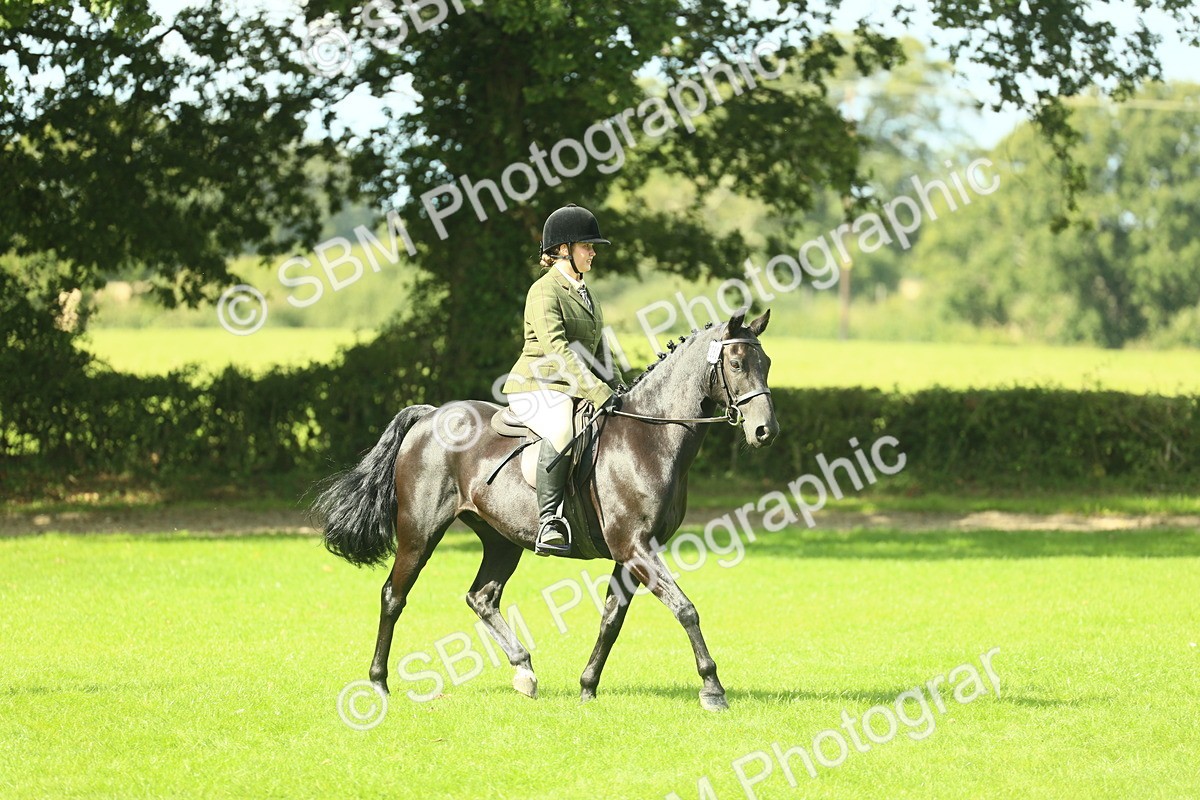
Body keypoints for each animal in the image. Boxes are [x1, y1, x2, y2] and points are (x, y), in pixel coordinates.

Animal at [311, 308, 778, 711]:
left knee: (482, 597)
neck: (649, 438)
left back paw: (524, 672)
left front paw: (588, 687)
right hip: (419, 533)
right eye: (737, 364)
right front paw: (713, 688)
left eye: (767, 362)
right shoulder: (636, 548)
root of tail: (429, 416)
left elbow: (612, 618)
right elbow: (685, 608)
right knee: (394, 596)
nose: (765, 431)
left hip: (501, 539)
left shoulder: (632, 554)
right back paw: (378, 682)